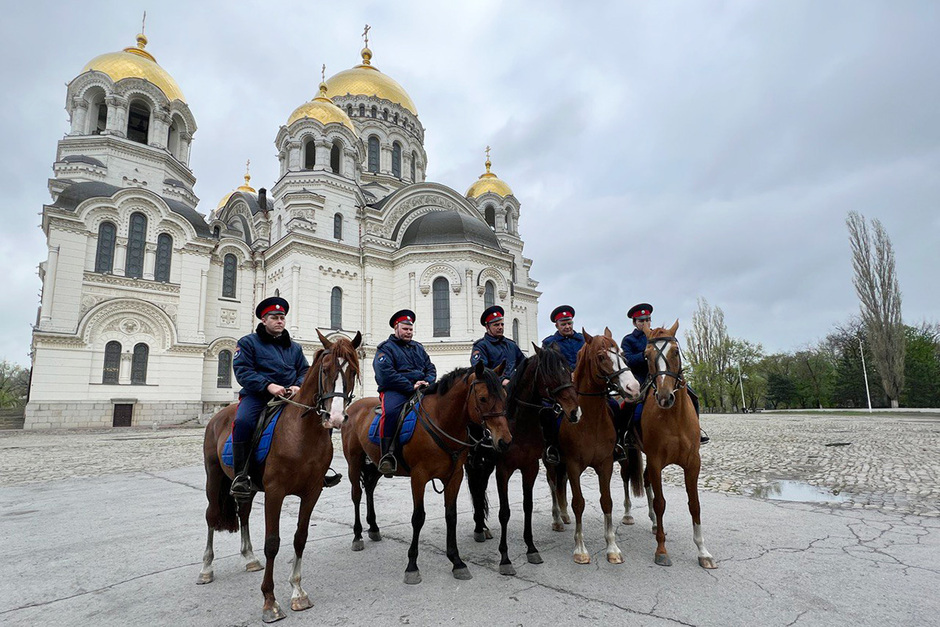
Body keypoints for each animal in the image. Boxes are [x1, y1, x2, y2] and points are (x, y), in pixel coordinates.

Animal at [200, 328, 362, 624]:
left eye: (353, 371)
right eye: (324, 369)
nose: (335, 418)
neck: (302, 435)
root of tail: (221, 414)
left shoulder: (312, 492)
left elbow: (300, 537)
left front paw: (297, 591)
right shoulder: (275, 492)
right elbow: (273, 543)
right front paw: (269, 601)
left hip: (248, 487)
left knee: (243, 513)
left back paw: (249, 558)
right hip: (214, 478)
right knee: (211, 516)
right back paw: (206, 568)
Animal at [342, 360, 510, 588]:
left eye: (504, 395)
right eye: (483, 398)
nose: (505, 440)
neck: (441, 422)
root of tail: (352, 409)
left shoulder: (455, 476)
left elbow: (451, 516)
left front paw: (456, 561)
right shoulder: (419, 477)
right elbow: (418, 517)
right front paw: (412, 566)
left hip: (376, 464)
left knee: (368, 487)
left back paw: (374, 528)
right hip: (354, 463)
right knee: (356, 494)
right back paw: (358, 535)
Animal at [462, 346, 580, 576]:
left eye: (569, 369)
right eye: (550, 372)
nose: (574, 411)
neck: (519, 425)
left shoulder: (530, 468)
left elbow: (528, 506)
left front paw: (531, 549)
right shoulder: (503, 470)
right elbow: (505, 512)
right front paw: (505, 558)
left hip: (485, 465)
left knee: (479, 489)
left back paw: (482, 527)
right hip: (474, 463)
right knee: (476, 488)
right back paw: (479, 528)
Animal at [548, 328, 644, 564]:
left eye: (622, 354)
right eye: (601, 357)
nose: (633, 387)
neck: (589, 420)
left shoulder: (605, 464)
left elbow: (606, 501)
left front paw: (612, 547)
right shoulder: (573, 465)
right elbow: (579, 503)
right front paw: (580, 548)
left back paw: (564, 515)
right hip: (552, 463)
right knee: (554, 485)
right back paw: (557, 518)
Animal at [640, 322, 720, 572]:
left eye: (675, 351)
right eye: (646, 355)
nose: (665, 397)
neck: (673, 417)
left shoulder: (693, 463)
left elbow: (695, 504)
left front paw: (703, 551)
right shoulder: (655, 461)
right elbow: (660, 503)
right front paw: (661, 550)